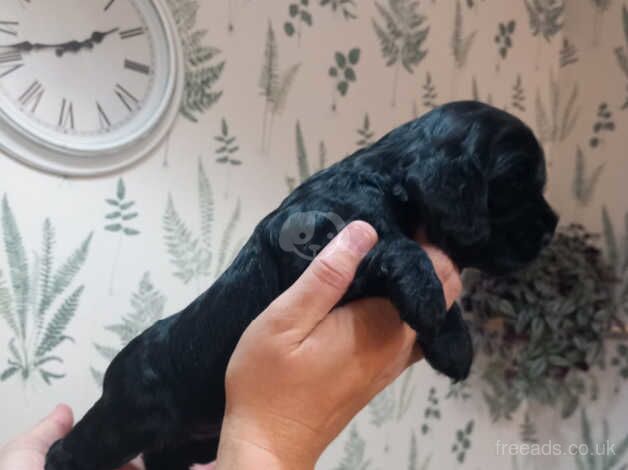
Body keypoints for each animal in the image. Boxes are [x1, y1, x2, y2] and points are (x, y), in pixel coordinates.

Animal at [46, 101, 556, 468]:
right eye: (517, 180)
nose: (553, 226)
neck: (385, 180)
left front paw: (454, 344)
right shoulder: (319, 243)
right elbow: (397, 248)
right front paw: (433, 307)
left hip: (190, 444)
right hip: (124, 423)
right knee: (68, 451)